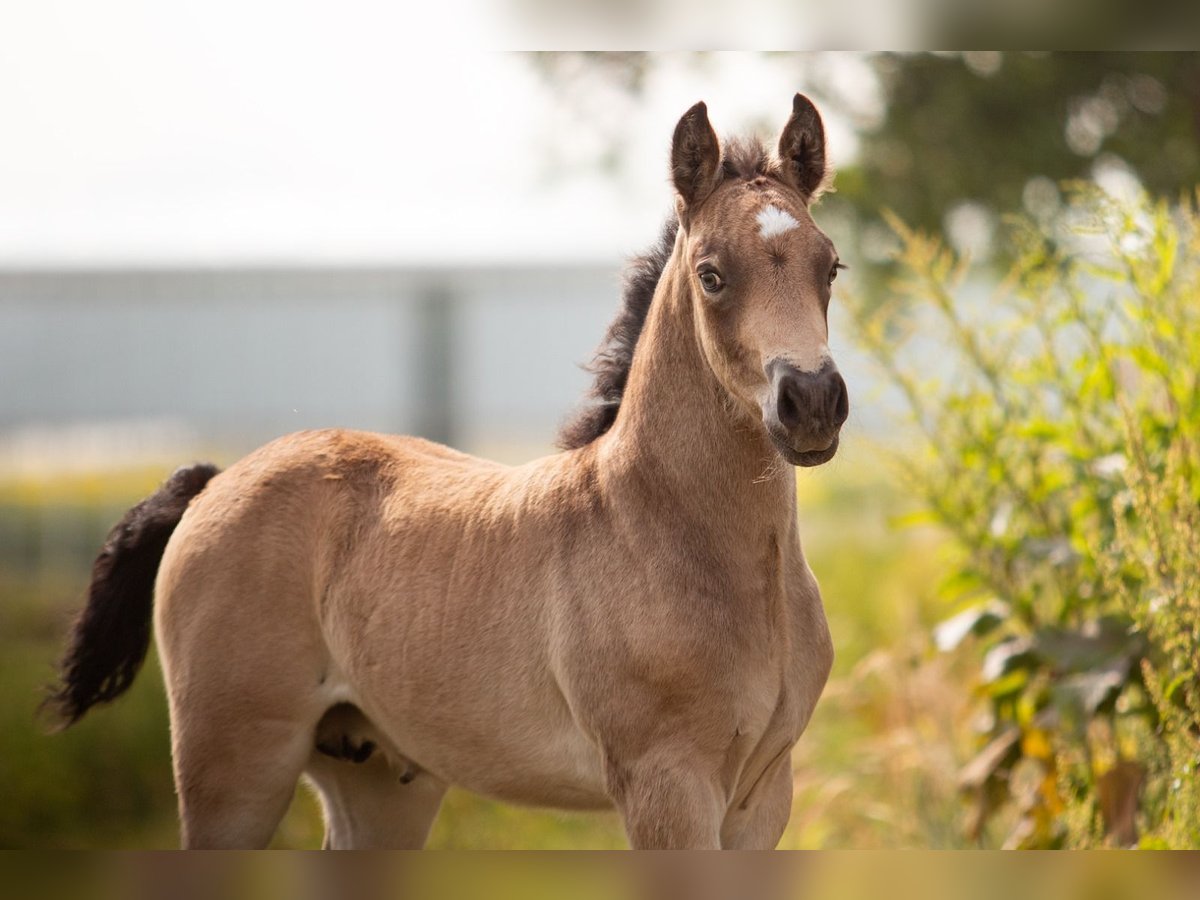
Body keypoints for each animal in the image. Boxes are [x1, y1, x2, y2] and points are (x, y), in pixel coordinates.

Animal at [51, 95, 849, 849]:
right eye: (711, 274)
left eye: (830, 265)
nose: (811, 401)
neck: (660, 530)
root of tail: (213, 485)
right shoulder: (666, 787)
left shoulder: (760, 798)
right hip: (234, 766)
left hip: (376, 779)